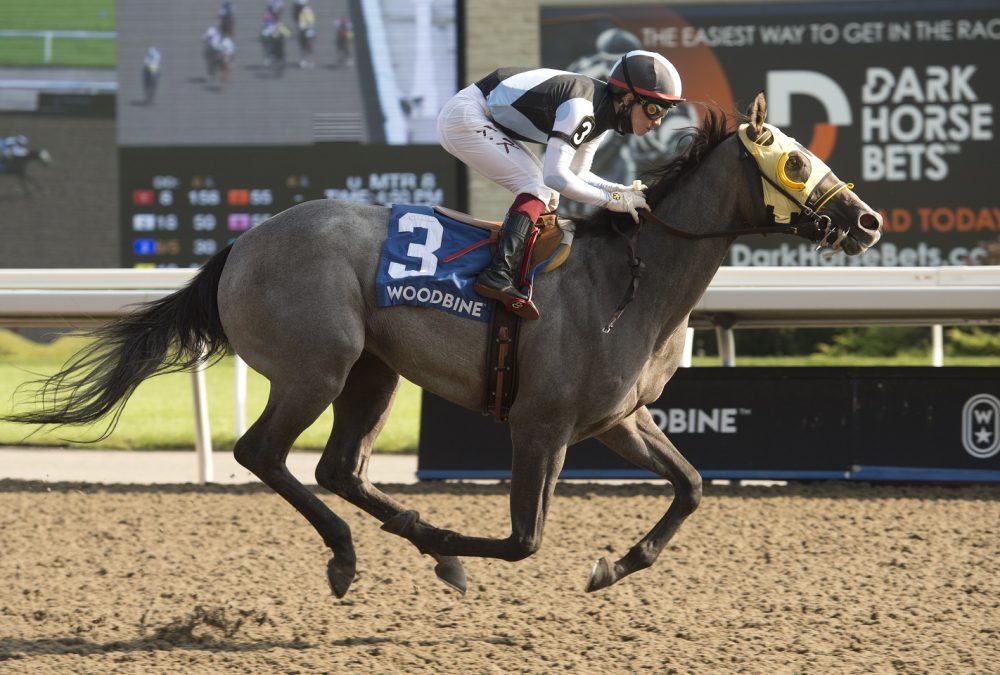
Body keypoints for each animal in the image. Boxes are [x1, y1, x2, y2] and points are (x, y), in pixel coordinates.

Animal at [7, 93, 884, 596]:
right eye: (795, 160)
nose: (867, 219)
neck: (629, 280)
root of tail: (244, 242)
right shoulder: (541, 424)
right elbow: (524, 539)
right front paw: (455, 550)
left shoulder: (616, 419)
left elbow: (694, 485)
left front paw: (613, 565)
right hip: (317, 368)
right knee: (264, 453)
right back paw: (354, 553)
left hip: (374, 372)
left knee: (336, 467)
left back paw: (384, 540)